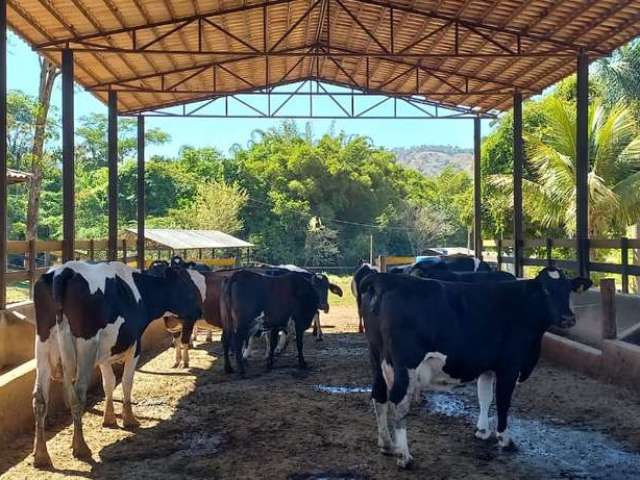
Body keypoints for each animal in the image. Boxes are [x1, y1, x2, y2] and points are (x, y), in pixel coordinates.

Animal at [31, 260, 202, 466]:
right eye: (189, 289)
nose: (200, 310)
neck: (140, 291)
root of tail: (63, 271)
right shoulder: (135, 345)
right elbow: (127, 382)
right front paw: (129, 419)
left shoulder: (105, 354)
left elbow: (109, 383)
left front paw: (110, 418)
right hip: (86, 344)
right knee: (78, 394)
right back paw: (80, 447)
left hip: (42, 344)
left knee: (40, 398)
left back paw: (41, 455)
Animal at [360, 266, 592, 468]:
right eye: (545, 290)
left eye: (568, 289)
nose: (568, 318)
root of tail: (385, 279)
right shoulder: (509, 367)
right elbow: (503, 402)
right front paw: (504, 439)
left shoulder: (487, 366)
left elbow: (484, 396)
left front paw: (482, 431)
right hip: (406, 363)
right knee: (398, 402)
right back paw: (404, 456)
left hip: (376, 356)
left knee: (379, 396)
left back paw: (387, 445)